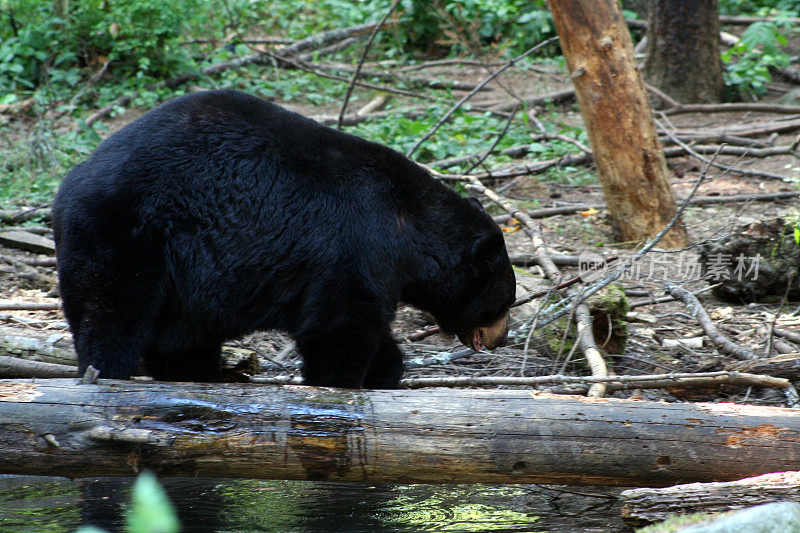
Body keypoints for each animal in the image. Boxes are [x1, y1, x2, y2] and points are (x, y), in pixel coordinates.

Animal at [54, 88, 520, 386]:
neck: (409, 226)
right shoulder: (355, 246)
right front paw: (343, 381)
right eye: (505, 300)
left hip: (175, 283)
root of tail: (66, 189)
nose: (503, 338)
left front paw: (385, 370)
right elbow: (338, 329)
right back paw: (107, 371)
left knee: (180, 342)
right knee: (112, 316)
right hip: (123, 238)